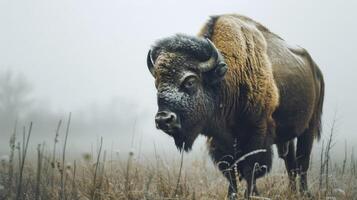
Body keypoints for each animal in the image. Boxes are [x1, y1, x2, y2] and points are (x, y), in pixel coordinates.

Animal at [145, 14, 322, 198]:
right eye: (157, 84)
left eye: (190, 81)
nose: (163, 119)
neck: (225, 80)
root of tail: (316, 70)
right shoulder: (220, 140)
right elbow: (231, 171)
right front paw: (233, 195)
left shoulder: (257, 133)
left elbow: (251, 168)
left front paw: (250, 195)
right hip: (287, 137)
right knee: (291, 164)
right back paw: (292, 192)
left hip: (309, 127)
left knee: (302, 162)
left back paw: (305, 193)